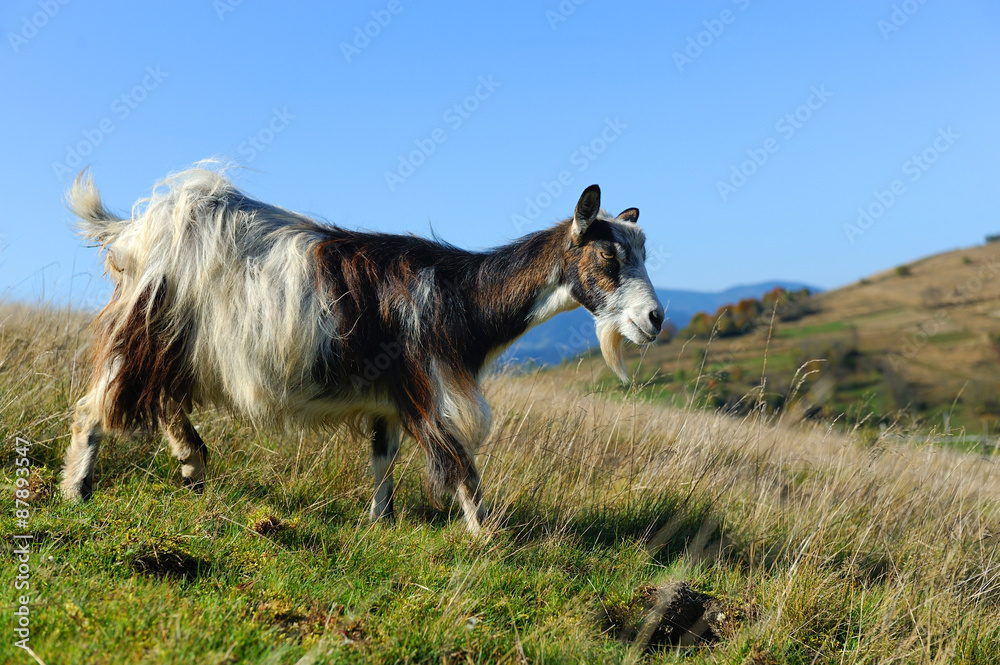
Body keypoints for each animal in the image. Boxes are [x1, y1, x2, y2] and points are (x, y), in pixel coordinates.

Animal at [66, 167, 668, 536]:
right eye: (609, 257)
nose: (655, 319)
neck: (457, 293)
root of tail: (136, 228)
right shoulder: (426, 387)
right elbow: (461, 465)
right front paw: (487, 539)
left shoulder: (389, 398)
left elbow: (384, 460)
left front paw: (380, 523)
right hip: (148, 326)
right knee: (97, 403)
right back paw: (77, 490)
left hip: (178, 343)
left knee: (162, 396)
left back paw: (192, 460)